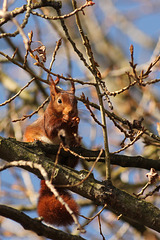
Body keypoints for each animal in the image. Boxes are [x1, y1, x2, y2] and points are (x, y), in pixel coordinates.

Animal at [22, 77, 80, 227]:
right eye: (59, 101)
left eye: (76, 101)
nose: (71, 112)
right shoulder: (47, 120)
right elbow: (50, 129)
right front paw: (64, 119)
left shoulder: (72, 131)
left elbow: (73, 132)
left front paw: (75, 122)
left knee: (71, 162)